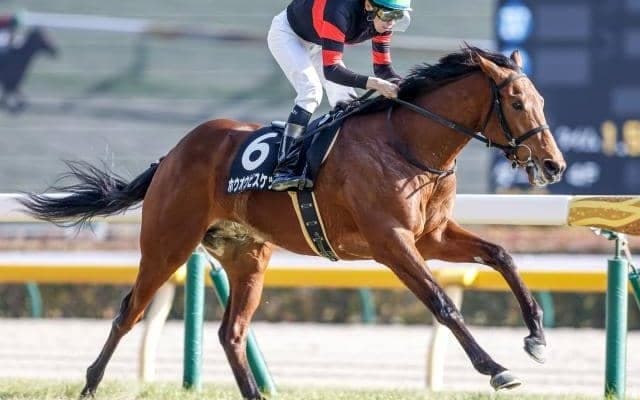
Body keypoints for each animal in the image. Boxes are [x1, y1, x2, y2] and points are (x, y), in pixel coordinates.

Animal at [20, 46, 566, 399]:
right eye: (517, 103)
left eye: (542, 101)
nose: (554, 165)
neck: (408, 143)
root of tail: (171, 155)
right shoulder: (391, 242)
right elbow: (442, 303)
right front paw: (496, 368)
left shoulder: (430, 236)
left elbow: (501, 255)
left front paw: (537, 337)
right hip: (166, 246)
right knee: (128, 313)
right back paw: (90, 384)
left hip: (248, 257)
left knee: (231, 333)